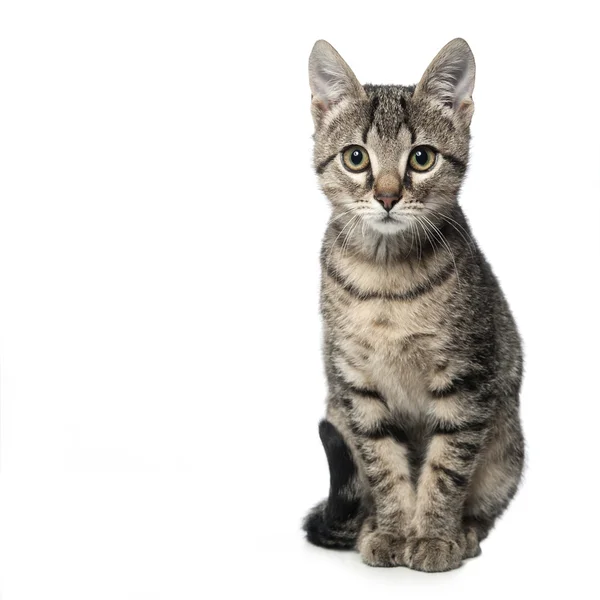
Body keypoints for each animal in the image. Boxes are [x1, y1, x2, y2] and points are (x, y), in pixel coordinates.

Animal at [302, 37, 524, 572]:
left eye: (421, 158)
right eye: (356, 158)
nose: (386, 197)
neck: (386, 281)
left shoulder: (466, 380)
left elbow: (445, 468)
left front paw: (433, 537)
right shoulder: (357, 387)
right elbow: (384, 466)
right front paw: (392, 531)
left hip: (507, 447)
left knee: (485, 503)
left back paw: (466, 531)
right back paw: (367, 525)